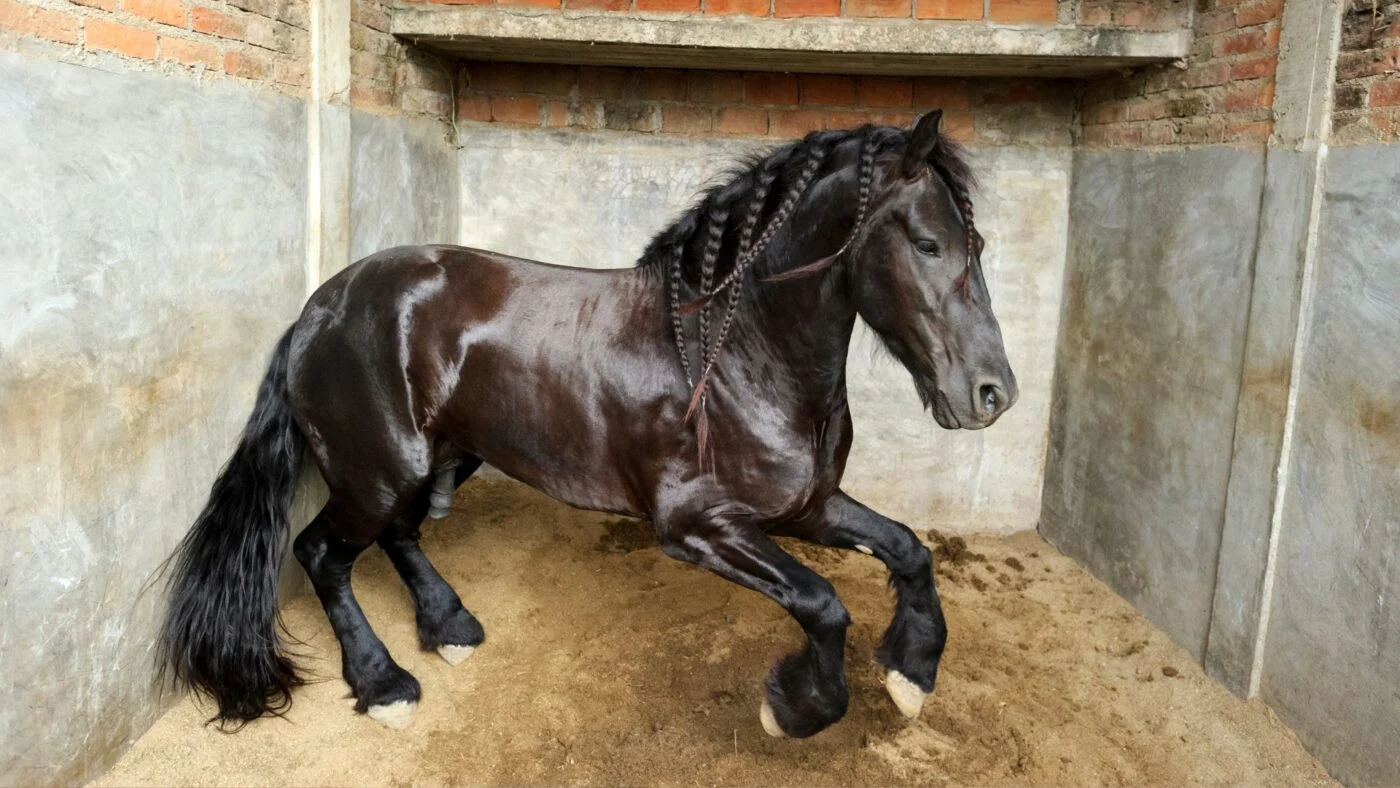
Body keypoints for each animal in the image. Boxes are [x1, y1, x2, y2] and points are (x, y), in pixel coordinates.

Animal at [157, 109, 1018, 739]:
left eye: (976, 244)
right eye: (929, 243)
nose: (993, 394)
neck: (732, 355)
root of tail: (318, 308)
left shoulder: (805, 507)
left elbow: (909, 551)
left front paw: (911, 675)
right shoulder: (699, 527)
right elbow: (822, 604)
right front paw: (794, 707)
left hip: (440, 456)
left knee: (400, 536)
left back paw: (451, 628)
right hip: (378, 470)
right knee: (320, 553)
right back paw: (387, 684)